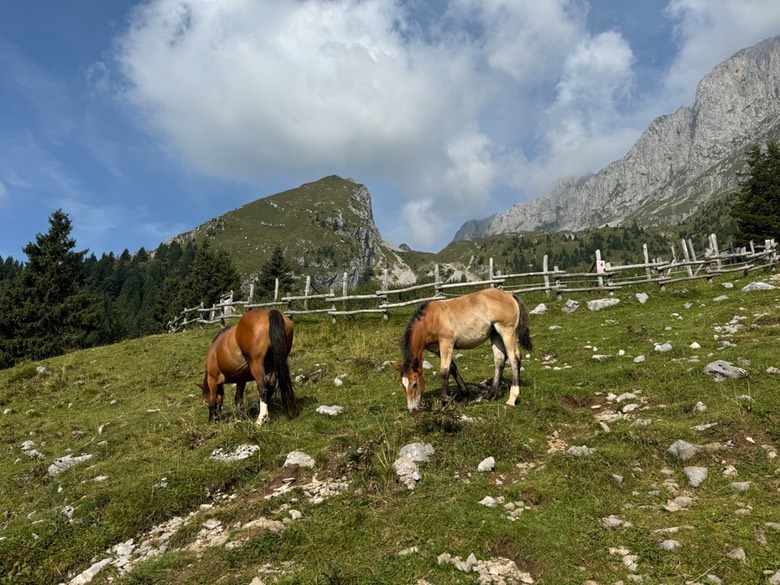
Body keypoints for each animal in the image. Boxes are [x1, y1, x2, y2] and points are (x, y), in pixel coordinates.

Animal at [396, 288, 532, 410]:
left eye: (414, 384)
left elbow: (444, 371)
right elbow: (452, 368)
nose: (412, 409)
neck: (429, 320)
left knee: (514, 358)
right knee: (499, 360)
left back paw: (512, 399)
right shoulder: (436, 349)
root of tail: (510, 295)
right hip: (495, 334)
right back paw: (489, 396)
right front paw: (465, 396)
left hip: (506, 331)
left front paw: (444, 403)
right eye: (403, 385)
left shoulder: (446, 343)